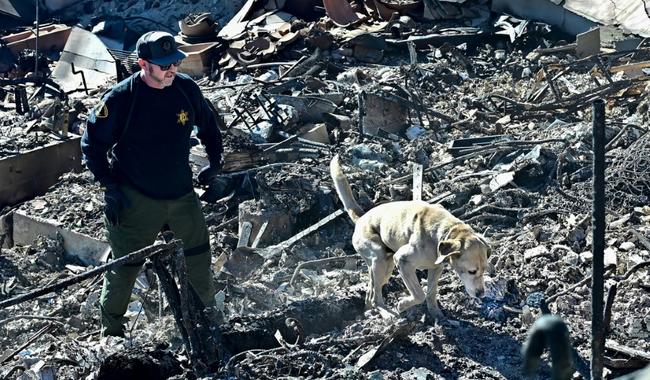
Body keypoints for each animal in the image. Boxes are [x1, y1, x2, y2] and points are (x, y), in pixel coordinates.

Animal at [330, 156, 486, 320]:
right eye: (472, 271)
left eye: (485, 270)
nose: (481, 294)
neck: (444, 231)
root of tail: (361, 218)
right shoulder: (402, 261)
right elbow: (419, 294)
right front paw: (402, 305)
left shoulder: (436, 268)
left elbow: (431, 293)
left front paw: (435, 313)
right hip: (380, 260)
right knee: (375, 296)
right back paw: (386, 313)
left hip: (384, 267)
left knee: (370, 292)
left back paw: (369, 311)